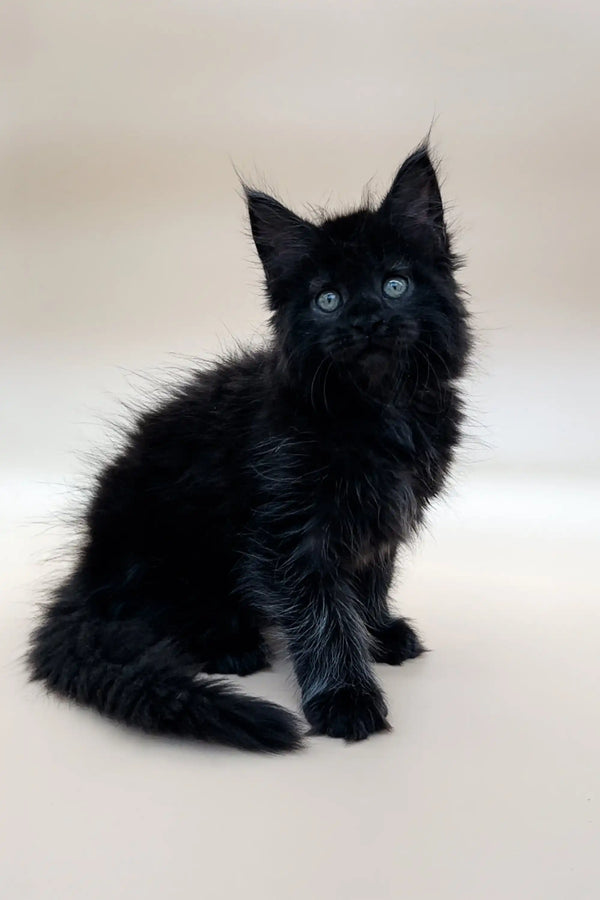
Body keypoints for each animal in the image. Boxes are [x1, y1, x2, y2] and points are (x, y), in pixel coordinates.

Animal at [28, 146, 472, 752]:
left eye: (395, 285)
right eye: (327, 300)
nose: (366, 320)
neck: (381, 411)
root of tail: (86, 571)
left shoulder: (380, 523)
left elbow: (369, 586)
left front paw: (378, 633)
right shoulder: (291, 531)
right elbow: (325, 617)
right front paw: (345, 697)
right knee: (152, 616)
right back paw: (230, 644)